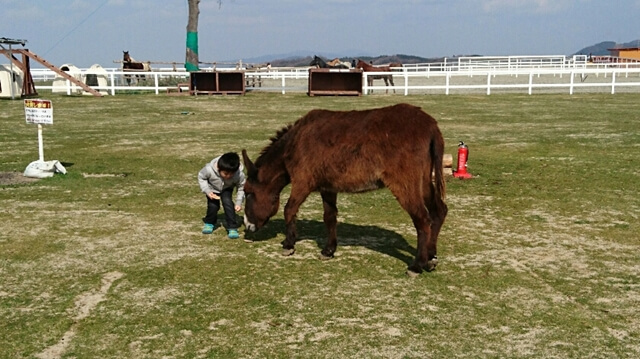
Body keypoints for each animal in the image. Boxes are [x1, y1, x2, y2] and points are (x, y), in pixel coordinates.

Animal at [242, 102, 448, 278]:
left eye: (248, 192)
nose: (247, 226)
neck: (294, 143)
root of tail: (430, 125)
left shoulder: (302, 182)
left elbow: (289, 209)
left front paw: (288, 244)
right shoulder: (328, 187)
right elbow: (330, 217)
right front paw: (328, 250)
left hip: (405, 184)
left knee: (422, 220)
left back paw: (417, 265)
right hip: (423, 181)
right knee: (439, 211)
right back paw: (431, 257)